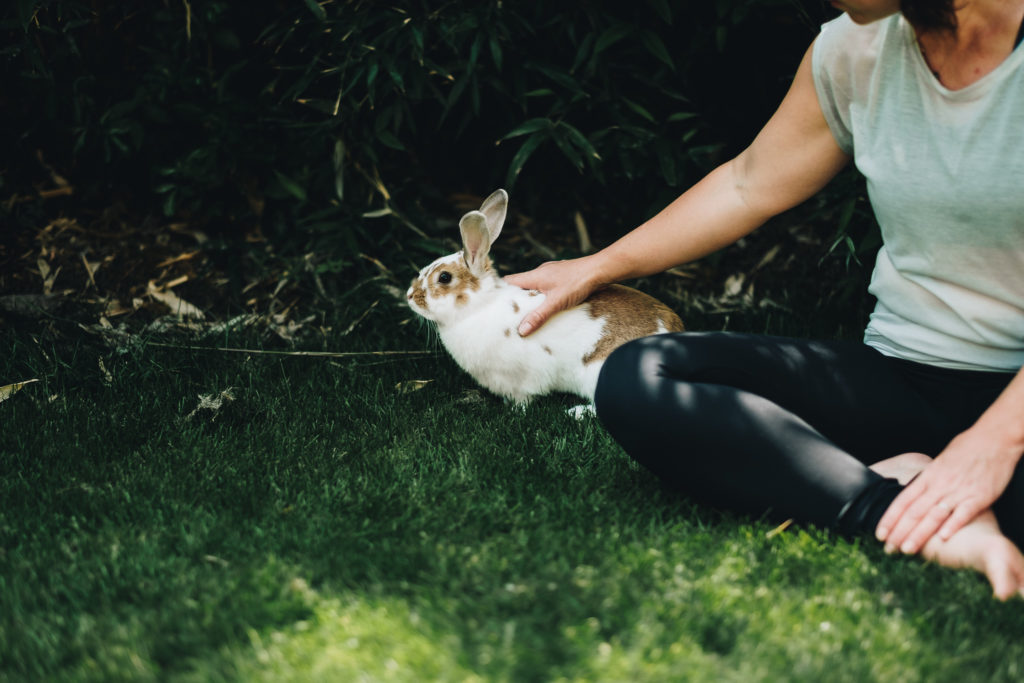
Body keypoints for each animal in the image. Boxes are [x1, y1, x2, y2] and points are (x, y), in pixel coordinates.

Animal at [403, 188, 684, 411]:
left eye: (444, 278)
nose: (409, 296)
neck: (479, 307)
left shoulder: (521, 378)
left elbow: (524, 398)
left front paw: (516, 411)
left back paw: (576, 413)